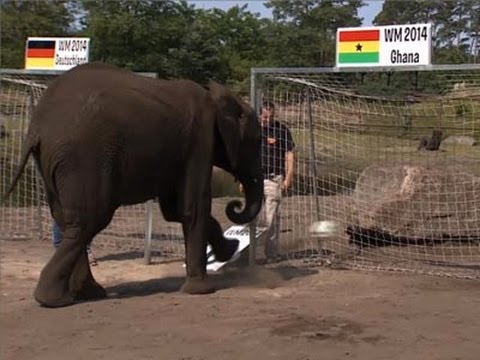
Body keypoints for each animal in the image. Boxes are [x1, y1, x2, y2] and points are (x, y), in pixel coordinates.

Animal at [0, 62, 262, 306]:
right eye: (256, 141)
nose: (235, 204)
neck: (217, 96)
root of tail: (36, 127)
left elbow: (175, 211)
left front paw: (229, 249)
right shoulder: (199, 139)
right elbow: (193, 208)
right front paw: (202, 290)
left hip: (53, 163)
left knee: (68, 220)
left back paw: (87, 294)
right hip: (83, 159)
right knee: (88, 220)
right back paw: (55, 300)